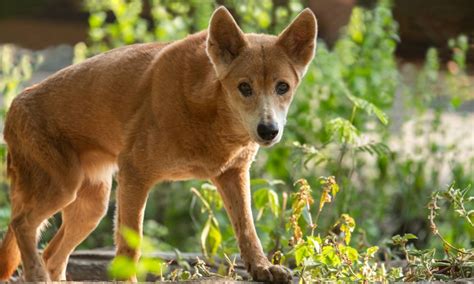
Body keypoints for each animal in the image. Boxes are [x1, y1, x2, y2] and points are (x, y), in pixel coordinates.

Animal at [0, 6, 318, 282]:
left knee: (51, 255)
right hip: (63, 189)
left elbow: (247, 230)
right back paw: (35, 275)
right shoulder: (134, 174)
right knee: (21, 225)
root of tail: (14, 106)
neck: (210, 115)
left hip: (92, 206)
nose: (268, 131)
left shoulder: (233, 175)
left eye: (282, 87)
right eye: (244, 88)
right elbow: (131, 245)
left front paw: (262, 267)